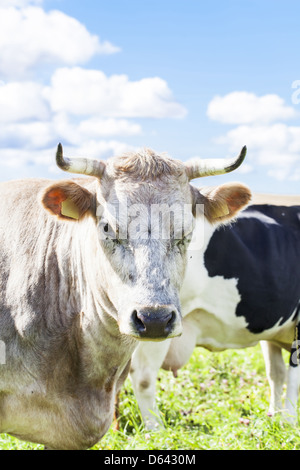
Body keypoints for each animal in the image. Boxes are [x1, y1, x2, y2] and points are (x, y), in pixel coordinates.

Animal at [130, 194, 300, 430]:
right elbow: (294, 377)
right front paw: (290, 423)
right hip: (155, 322)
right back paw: (156, 431)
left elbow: (276, 373)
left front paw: (274, 417)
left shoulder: (273, 329)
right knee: (143, 376)